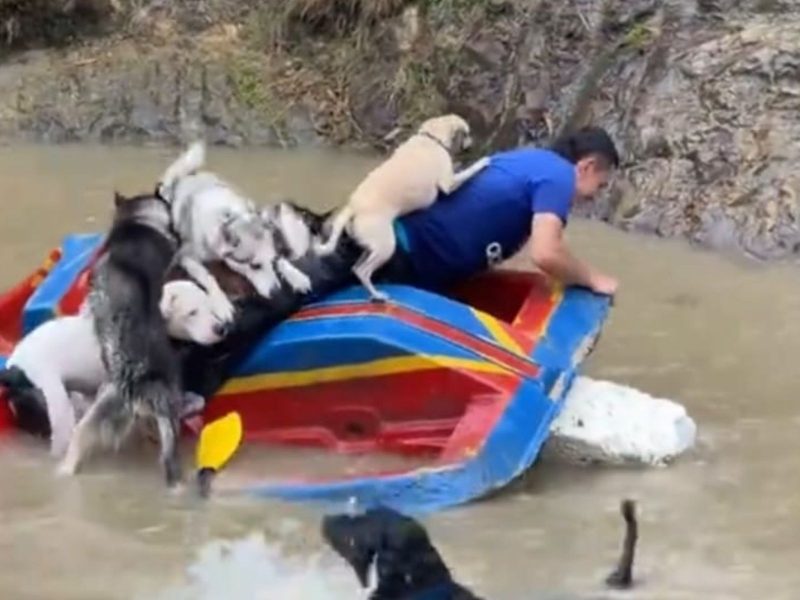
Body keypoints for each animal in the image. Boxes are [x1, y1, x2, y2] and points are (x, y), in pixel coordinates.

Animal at [312, 113, 488, 300]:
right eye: (467, 134)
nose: (471, 146)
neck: (430, 138)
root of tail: (353, 207)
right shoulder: (449, 183)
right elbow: (469, 171)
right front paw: (483, 161)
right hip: (386, 247)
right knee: (363, 272)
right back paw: (377, 296)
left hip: (371, 247)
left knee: (356, 268)